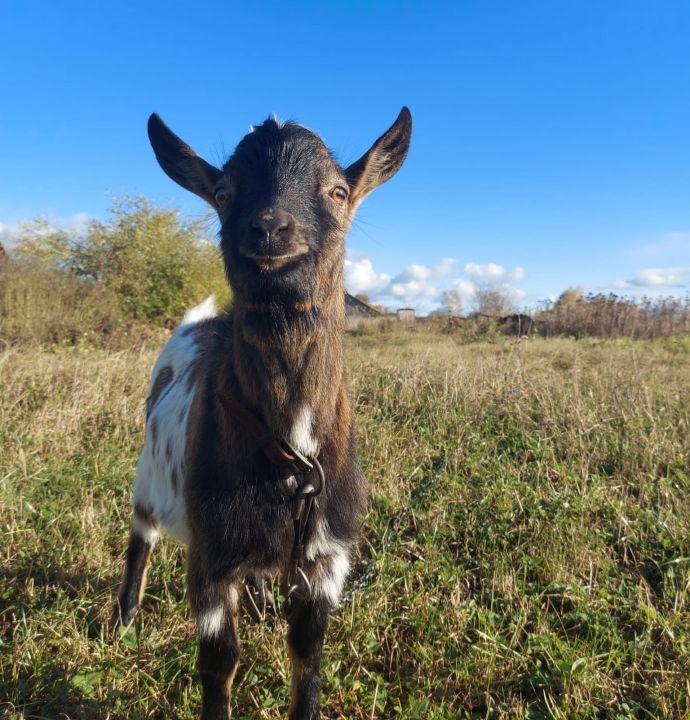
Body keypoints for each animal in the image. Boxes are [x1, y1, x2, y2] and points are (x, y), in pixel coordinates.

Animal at [113, 108, 412, 720]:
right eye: (224, 192)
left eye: (339, 190)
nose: (271, 229)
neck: (291, 455)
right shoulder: (210, 558)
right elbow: (220, 662)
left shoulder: (325, 561)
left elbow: (307, 656)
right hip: (149, 473)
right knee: (141, 533)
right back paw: (124, 619)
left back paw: (260, 601)